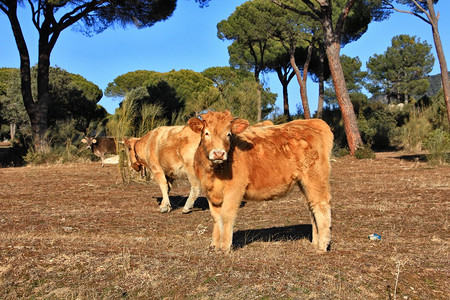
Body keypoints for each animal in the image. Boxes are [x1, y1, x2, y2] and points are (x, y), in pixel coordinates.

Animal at [187, 110, 334, 253]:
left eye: (228, 134)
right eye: (207, 133)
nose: (219, 153)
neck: (214, 172)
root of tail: (312, 123)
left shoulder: (234, 189)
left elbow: (227, 215)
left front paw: (224, 247)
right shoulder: (210, 192)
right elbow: (216, 218)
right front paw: (214, 245)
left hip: (315, 178)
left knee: (321, 205)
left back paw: (322, 245)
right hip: (304, 183)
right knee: (311, 207)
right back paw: (315, 242)